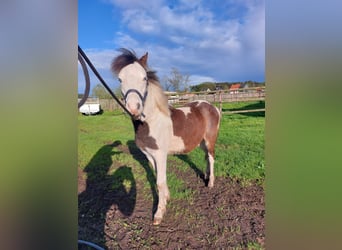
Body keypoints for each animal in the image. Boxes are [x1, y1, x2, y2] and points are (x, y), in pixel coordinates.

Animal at [111, 48, 220, 225]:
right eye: (120, 79)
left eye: (144, 78)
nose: (133, 109)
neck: (150, 121)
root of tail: (212, 106)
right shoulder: (149, 155)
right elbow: (158, 178)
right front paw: (167, 198)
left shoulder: (160, 155)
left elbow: (160, 182)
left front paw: (159, 213)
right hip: (201, 142)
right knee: (206, 158)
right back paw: (205, 175)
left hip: (210, 140)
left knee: (211, 158)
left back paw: (210, 183)